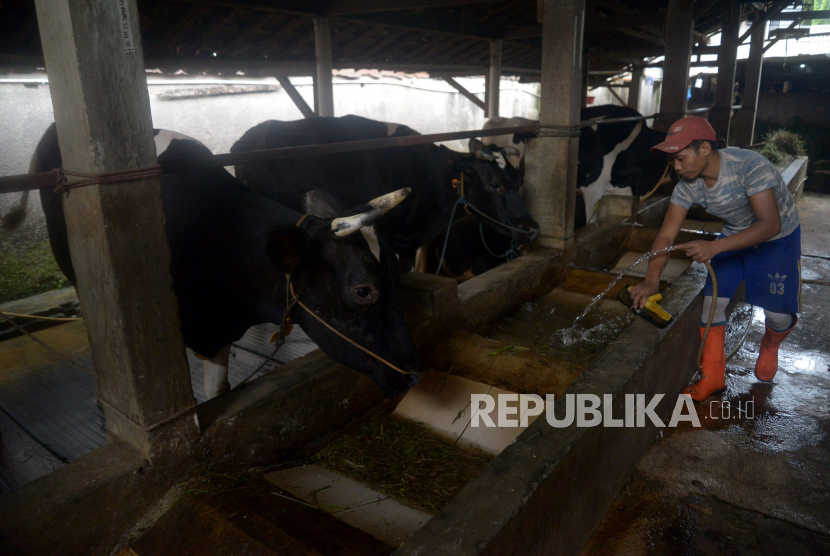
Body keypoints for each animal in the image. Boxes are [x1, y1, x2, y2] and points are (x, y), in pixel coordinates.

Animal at [229, 114, 540, 268]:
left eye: (518, 180)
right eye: (494, 184)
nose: (533, 229)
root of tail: (246, 140)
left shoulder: (412, 242)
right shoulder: (387, 238)